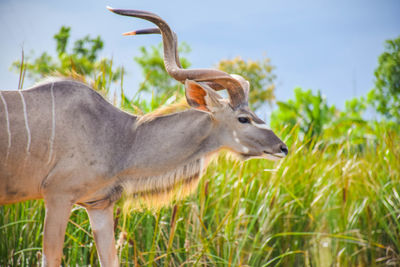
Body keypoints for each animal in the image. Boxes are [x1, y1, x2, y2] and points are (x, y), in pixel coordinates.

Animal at [0, 7, 288, 267]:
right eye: (244, 119)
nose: (282, 148)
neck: (122, 139)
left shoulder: (98, 205)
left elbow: (110, 259)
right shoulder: (57, 196)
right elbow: (52, 258)